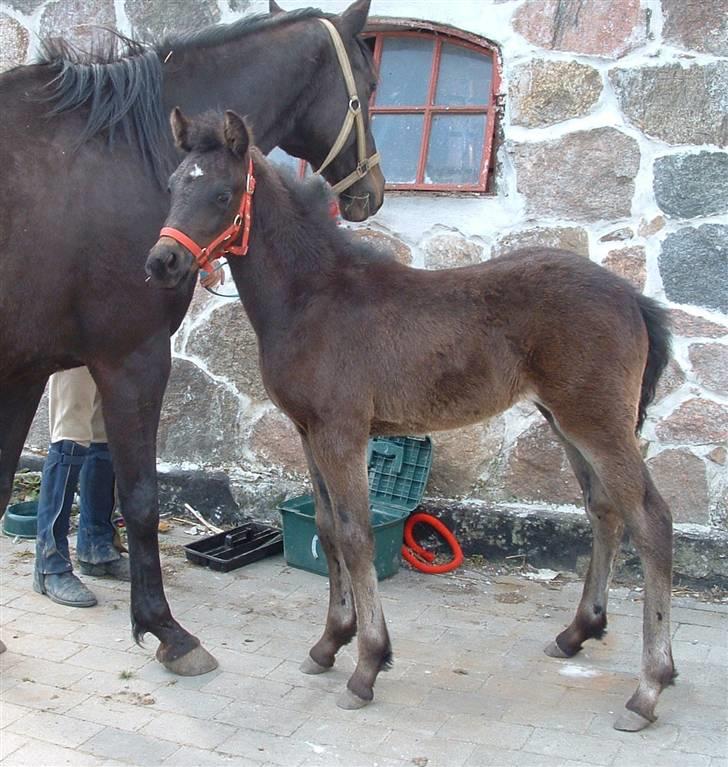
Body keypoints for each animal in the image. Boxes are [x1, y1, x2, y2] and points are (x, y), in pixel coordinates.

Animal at [0, 0, 386, 676]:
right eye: (366, 88)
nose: (374, 192)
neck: (127, 151)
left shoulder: (25, 369)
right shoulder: (132, 357)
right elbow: (141, 496)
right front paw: (165, 630)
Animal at [146, 109, 676, 732]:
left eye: (222, 194)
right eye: (174, 185)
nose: (162, 262)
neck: (312, 297)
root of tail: (632, 296)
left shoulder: (341, 432)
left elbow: (355, 535)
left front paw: (367, 665)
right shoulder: (308, 433)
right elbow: (326, 528)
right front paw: (330, 643)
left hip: (597, 421)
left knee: (651, 520)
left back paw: (649, 688)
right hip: (565, 421)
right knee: (605, 511)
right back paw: (577, 633)